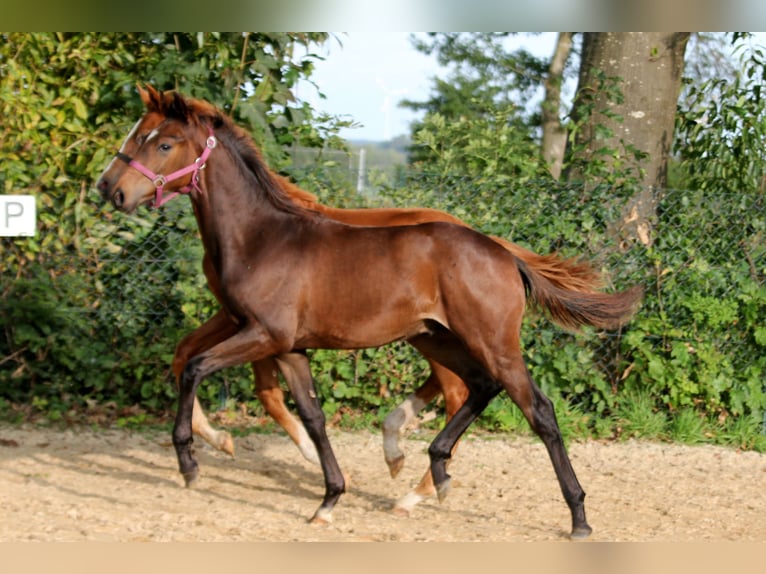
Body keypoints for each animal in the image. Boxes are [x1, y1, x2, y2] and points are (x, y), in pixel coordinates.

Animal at [180, 173, 608, 516]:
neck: (259, 235)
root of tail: (500, 249)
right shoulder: (261, 331)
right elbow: (198, 359)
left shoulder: (257, 329)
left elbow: (238, 380)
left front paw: (211, 446)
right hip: (434, 336)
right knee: (474, 387)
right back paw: (410, 459)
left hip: (475, 340)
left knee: (493, 397)